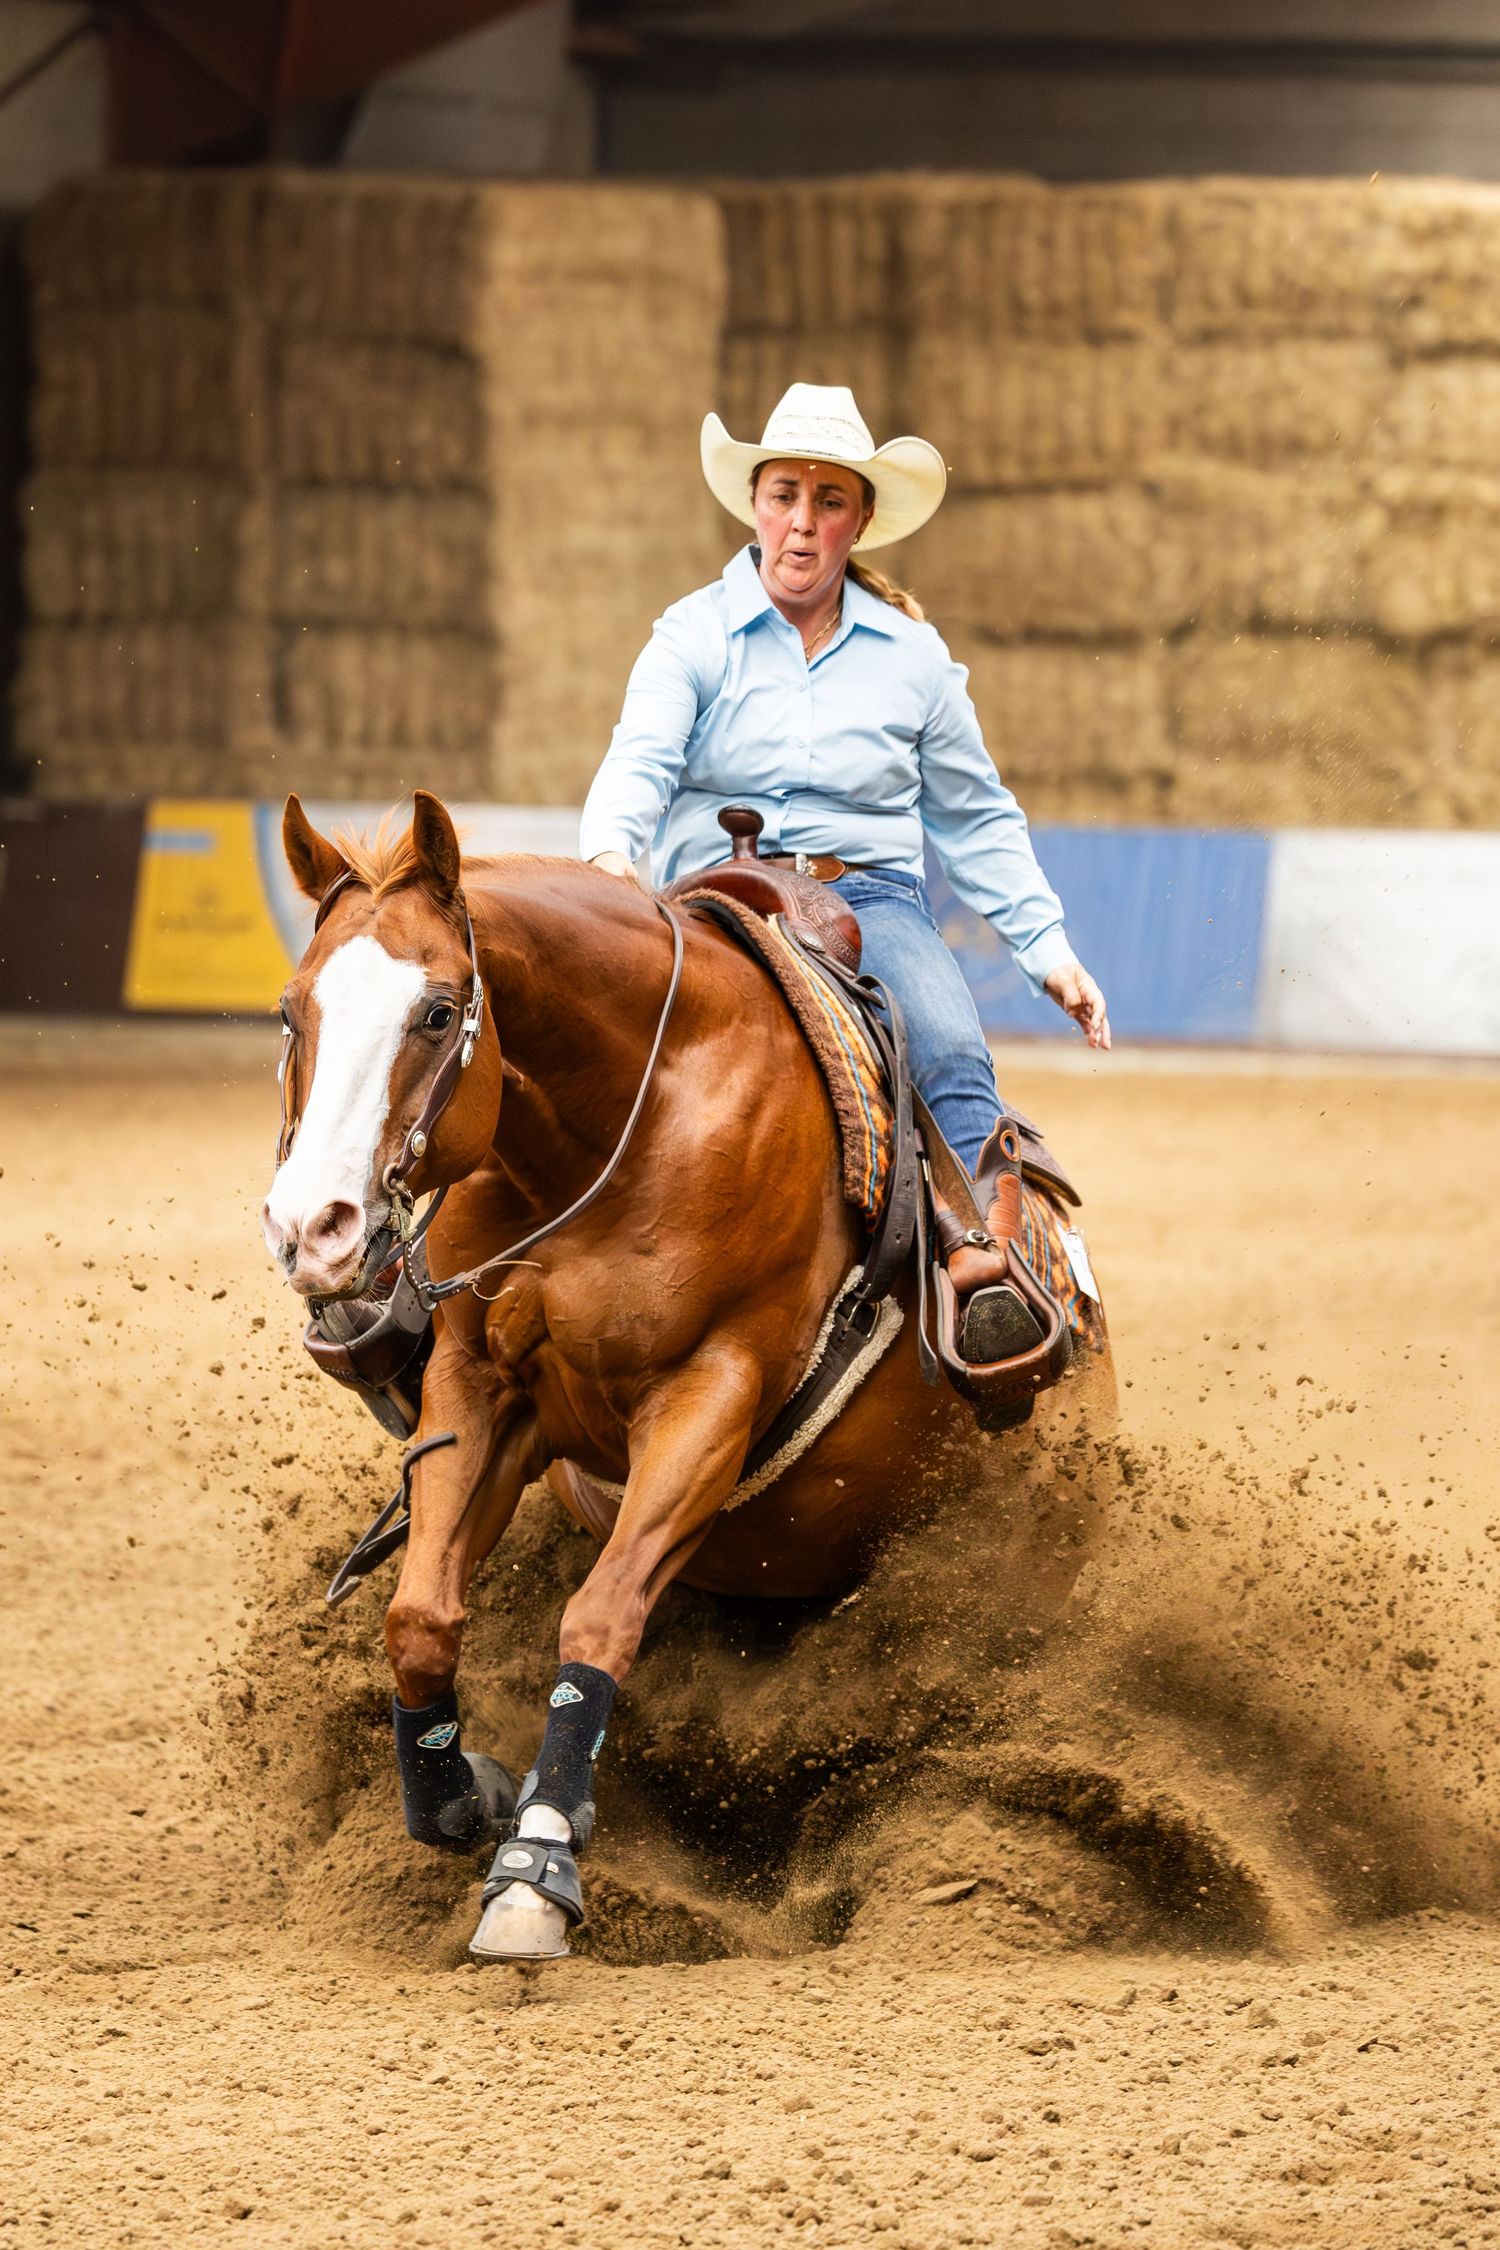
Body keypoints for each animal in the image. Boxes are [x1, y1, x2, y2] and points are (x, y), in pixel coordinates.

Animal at [261, 791, 1116, 1960]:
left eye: (437, 1013)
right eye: (291, 1011)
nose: (313, 1229)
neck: (619, 1128)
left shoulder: (708, 1396)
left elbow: (599, 1617)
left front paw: (534, 1871)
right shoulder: (482, 1387)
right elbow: (420, 1614)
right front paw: (461, 1796)